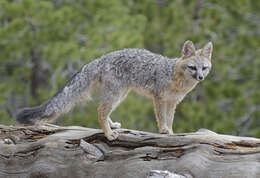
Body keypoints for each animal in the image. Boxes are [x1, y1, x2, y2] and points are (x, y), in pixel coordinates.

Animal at [16, 40, 212, 140]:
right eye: (193, 68)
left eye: (204, 68)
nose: (200, 78)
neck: (175, 78)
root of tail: (100, 58)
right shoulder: (159, 98)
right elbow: (162, 117)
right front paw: (163, 130)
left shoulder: (172, 102)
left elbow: (170, 119)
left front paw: (170, 132)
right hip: (116, 94)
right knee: (100, 111)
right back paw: (109, 134)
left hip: (120, 95)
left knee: (104, 111)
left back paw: (111, 126)